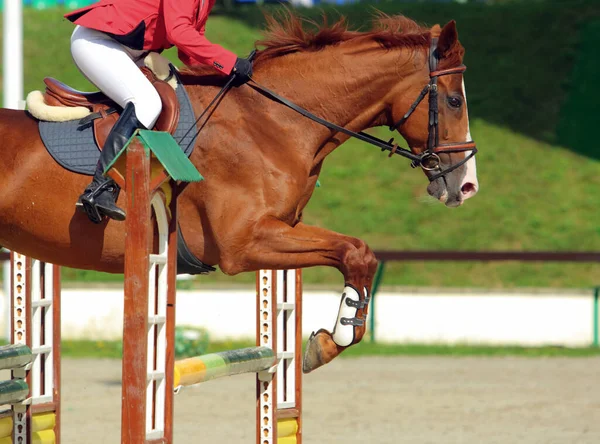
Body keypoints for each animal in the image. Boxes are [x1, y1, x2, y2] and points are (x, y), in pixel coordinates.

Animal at [0, 13, 478, 372]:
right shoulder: (242, 243)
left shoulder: (280, 229)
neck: (272, 120)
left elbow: (359, 254)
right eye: (454, 101)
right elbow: (354, 252)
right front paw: (332, 339)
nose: (466, 186)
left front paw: (330, 339)